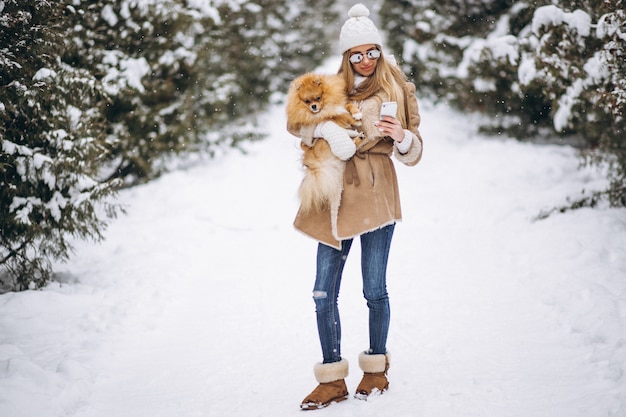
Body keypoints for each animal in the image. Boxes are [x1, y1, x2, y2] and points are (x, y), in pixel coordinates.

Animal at [284, 72, 360, 213]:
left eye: (318, 98)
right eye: (307, 101)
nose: (313, 106)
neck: (326, 106)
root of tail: (316, 167)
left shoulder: (341, 104)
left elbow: (348, 106)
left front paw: (357, 113)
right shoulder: (329, 117)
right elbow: (341, 116)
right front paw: (354, 120)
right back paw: (357, 138)